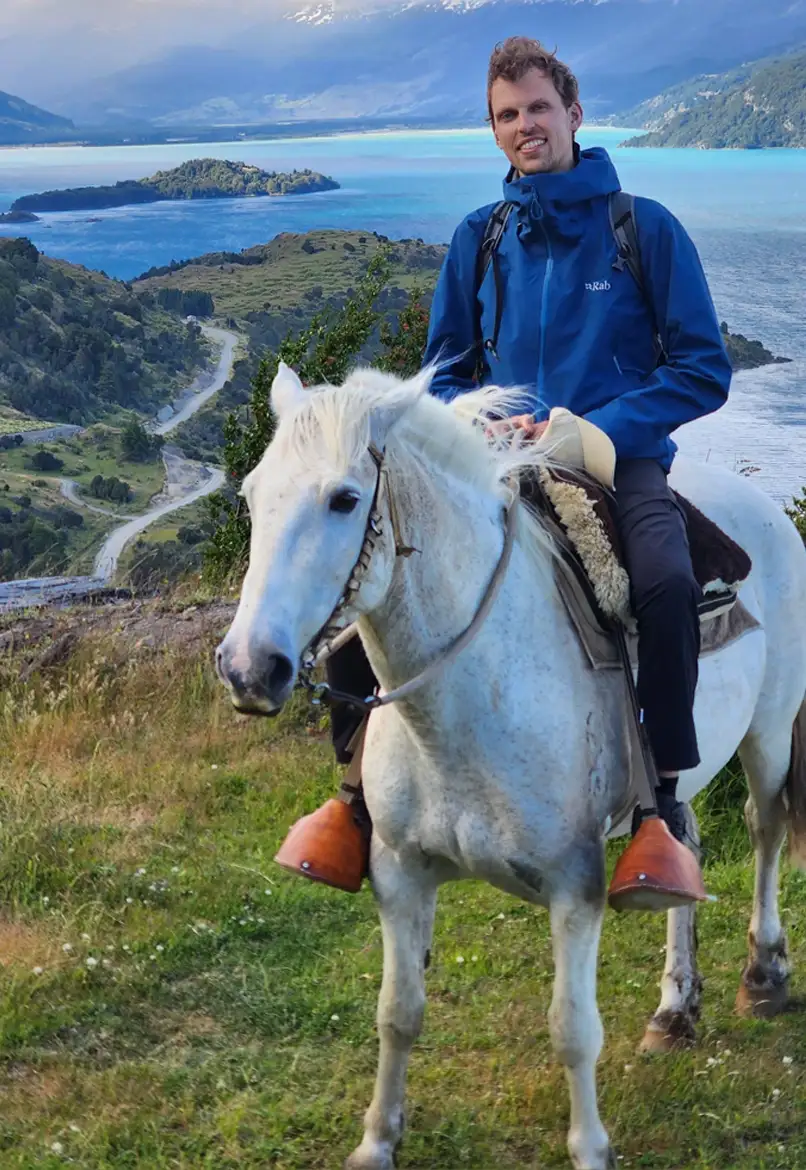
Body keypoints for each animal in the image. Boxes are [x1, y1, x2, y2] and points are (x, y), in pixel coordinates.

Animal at [216, 361, 806, 1170]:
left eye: (343, 499)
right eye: (252, 495)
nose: (249, 668)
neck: (469, 699)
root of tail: (765, 513)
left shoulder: (575, 886)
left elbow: (573, 1029)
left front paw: (590, 1148)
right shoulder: (400, 874)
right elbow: (397, 1013)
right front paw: (377, 1140)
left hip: (771, 730)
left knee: (765, 828)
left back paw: (764, 973)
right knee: (681, 844)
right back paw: (675, 1009)